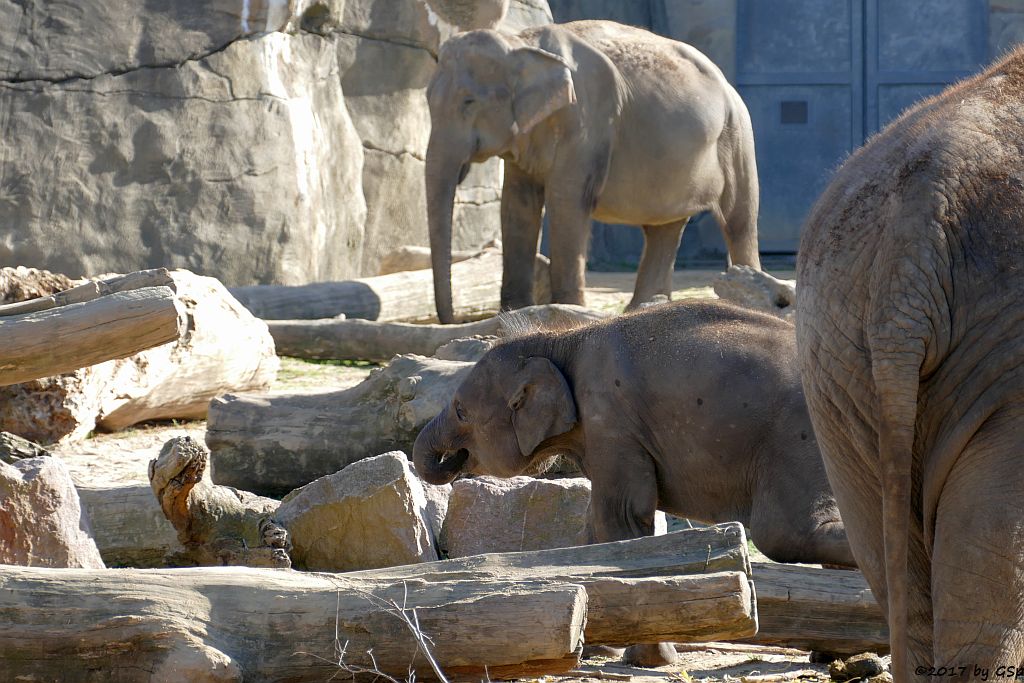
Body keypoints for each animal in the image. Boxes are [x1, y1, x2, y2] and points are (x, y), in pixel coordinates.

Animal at [411, 301, 851, 565]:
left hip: (799, 437)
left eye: (461, 411)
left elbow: (621, 515)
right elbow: (598, 523)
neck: (562, 339)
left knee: (784, 531)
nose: (449, 460)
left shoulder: (610, 420)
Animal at [423, 18, 761, 323]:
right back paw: (644, 308)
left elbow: (566, 202)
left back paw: (748, 291)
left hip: (736, 132)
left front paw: (567, 310)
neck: (520, 43)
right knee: (664, 227)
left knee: (738, 219)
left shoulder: (587, 118)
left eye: (468, 101)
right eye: (427, 100)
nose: (450, 320)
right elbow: (517, 205)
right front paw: (513, 312)